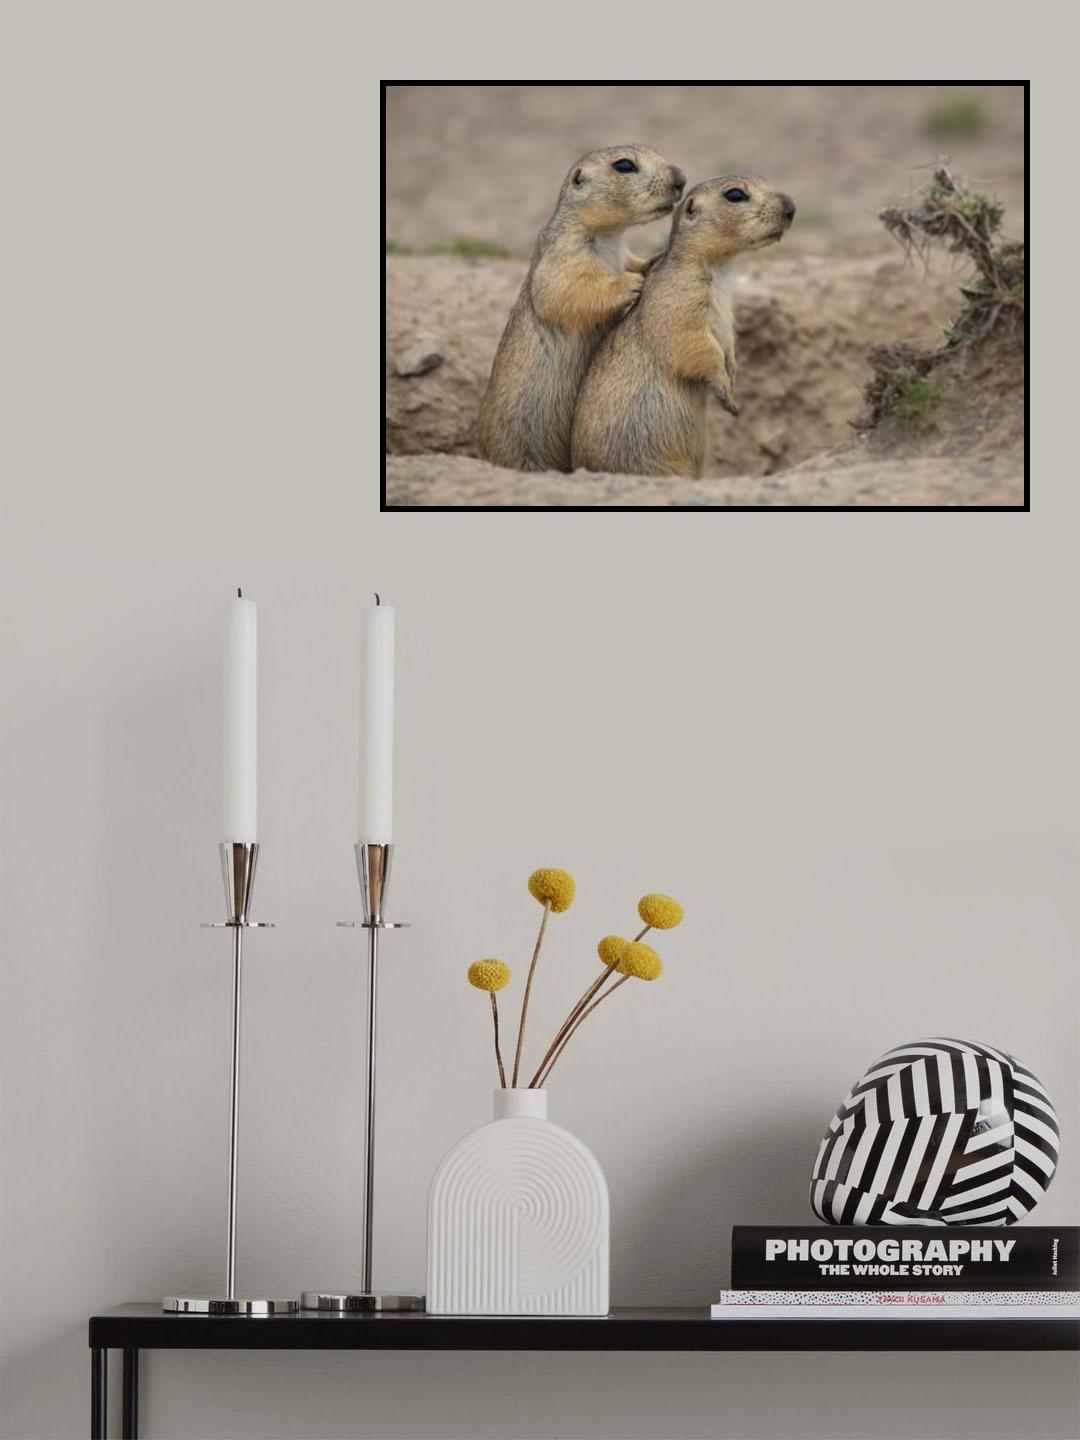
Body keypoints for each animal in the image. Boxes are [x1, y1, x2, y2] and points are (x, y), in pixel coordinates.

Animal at [476, 146, 686, 473]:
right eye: (624, 165)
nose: (681, 178)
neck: (610, 237)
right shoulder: (566, 253)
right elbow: (565, 290)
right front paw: (631, 283)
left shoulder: (621, 252)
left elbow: (631, 261)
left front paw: (651, 261)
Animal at [570, 176, 796, 479]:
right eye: (735, 195)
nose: (791, 207)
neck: (720, 269)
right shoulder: (682, 298)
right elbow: (696, 344)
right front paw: (728, 396)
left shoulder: (726, 308)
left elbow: (727, 341)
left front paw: (733, 372)